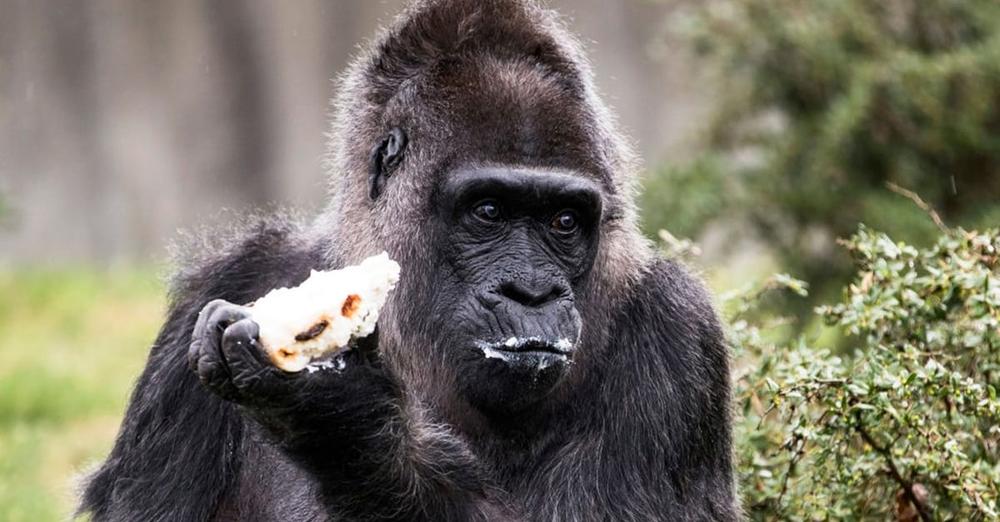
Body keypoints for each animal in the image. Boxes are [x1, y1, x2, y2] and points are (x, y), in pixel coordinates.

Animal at [78, 1, 740, 520]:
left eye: (564, 222)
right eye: (489, 211)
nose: (532, 293)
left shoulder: (679, 329)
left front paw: (348, 418)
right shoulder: (226, 281)